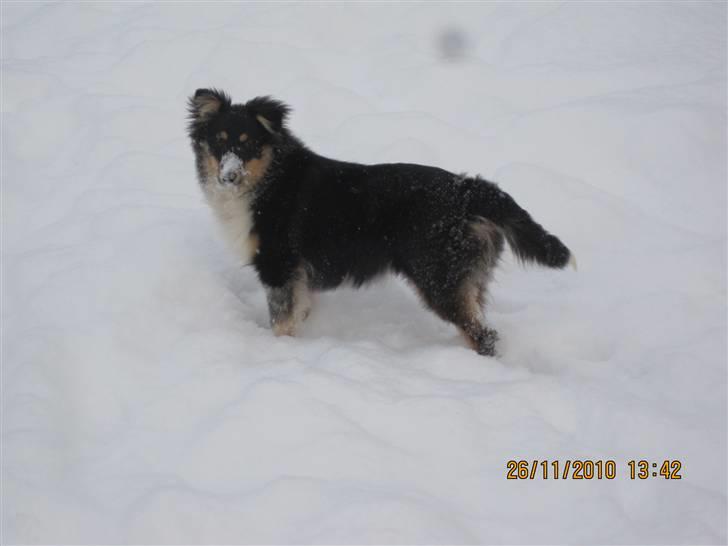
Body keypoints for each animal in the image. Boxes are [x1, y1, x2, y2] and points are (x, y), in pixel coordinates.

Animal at [188, 87, 576, 354]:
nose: (228, 176)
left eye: (248, 143)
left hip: (440, 278)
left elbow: (282, 321)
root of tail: (468, 188)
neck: (270, 178)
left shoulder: (278, 264)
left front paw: (280, 351)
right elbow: (299, 311)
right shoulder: (297, 276)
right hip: (469, 277)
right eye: (218, 142)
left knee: (484, 336)